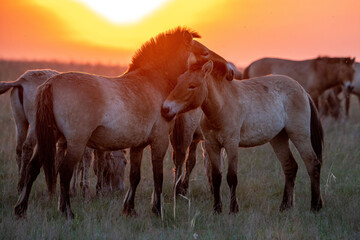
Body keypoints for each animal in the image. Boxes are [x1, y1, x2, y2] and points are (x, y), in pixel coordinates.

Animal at [14, 26, 211, 219]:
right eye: (203, 51)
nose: (211, 63)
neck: (152, 82)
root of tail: (51, 83)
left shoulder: (138, 146)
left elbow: (134, 176)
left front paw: (130, 209)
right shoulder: (159, 141)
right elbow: (158, 176)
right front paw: (157, 210)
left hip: (49, 138)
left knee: (33, 168)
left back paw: (21, 209)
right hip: (76, 143)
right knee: (64, 171)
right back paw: (67, 212)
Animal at [162, 55, 324, 214]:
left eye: (192, 85)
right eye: (178, 81)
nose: (165, 109)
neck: (222, 106)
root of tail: (302, 90)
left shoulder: (231, 144)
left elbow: (232, 177)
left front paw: (233, 209)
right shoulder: (211, 145)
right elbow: (216, 177)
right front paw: (217, 209)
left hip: (299, 135)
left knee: (312, 163)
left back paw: (315, 206)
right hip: (279, 138)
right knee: (290, 167)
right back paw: (285, 207)